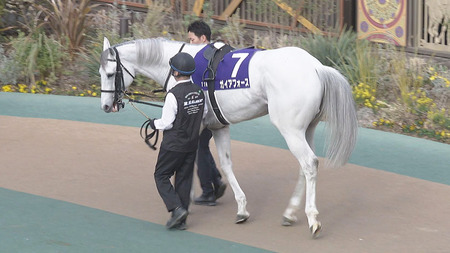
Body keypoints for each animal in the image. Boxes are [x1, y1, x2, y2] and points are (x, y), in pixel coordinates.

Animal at [99, 37, 358, 237]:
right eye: (101, 72)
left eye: (111, 74)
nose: (106, 106)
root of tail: (317, 67)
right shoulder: (218, 126)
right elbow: (224, 163)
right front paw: (239, 207)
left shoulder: (198, 125)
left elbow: (190, 159)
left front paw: (184, 203)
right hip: (306, 129)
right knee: (304, 168)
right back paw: (290, 213)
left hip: (291, 130)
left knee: (309, 164)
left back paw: (312, 218)